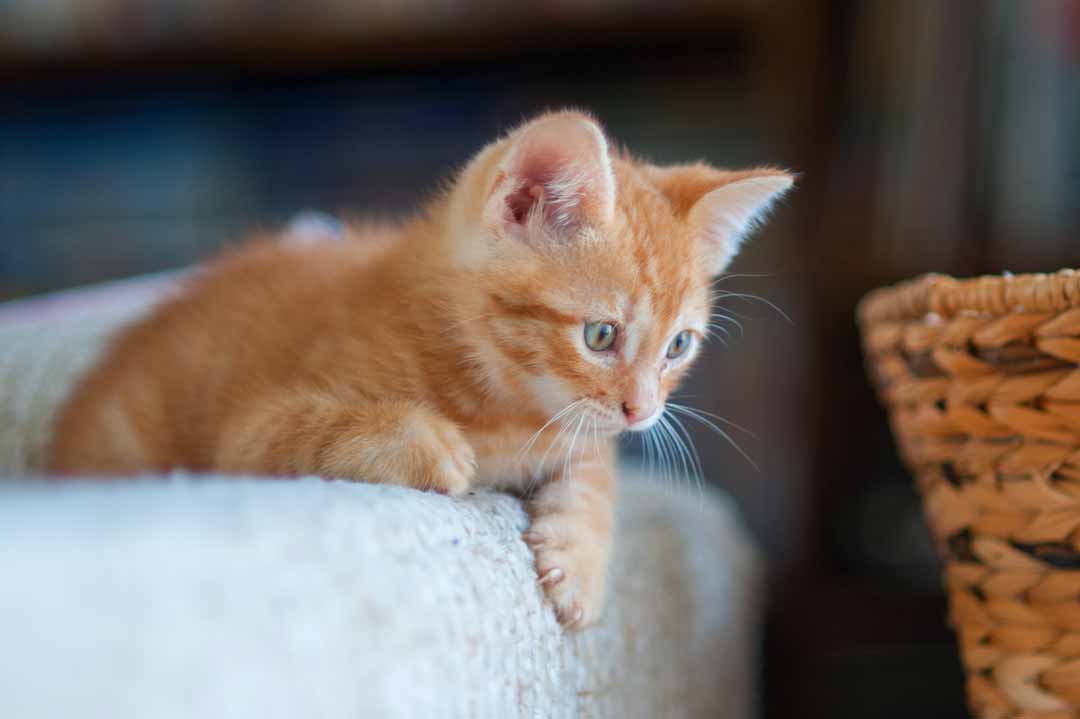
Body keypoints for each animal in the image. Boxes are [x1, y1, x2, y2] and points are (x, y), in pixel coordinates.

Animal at [46, 109, 794, 626]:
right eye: (601, 334)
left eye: (678, 347)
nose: (643, 411)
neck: (505, 401)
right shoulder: (251, 429)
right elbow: (316, 430)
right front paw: (426, 443)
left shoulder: (582, 431)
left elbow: (594, 470)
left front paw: (580, 557)